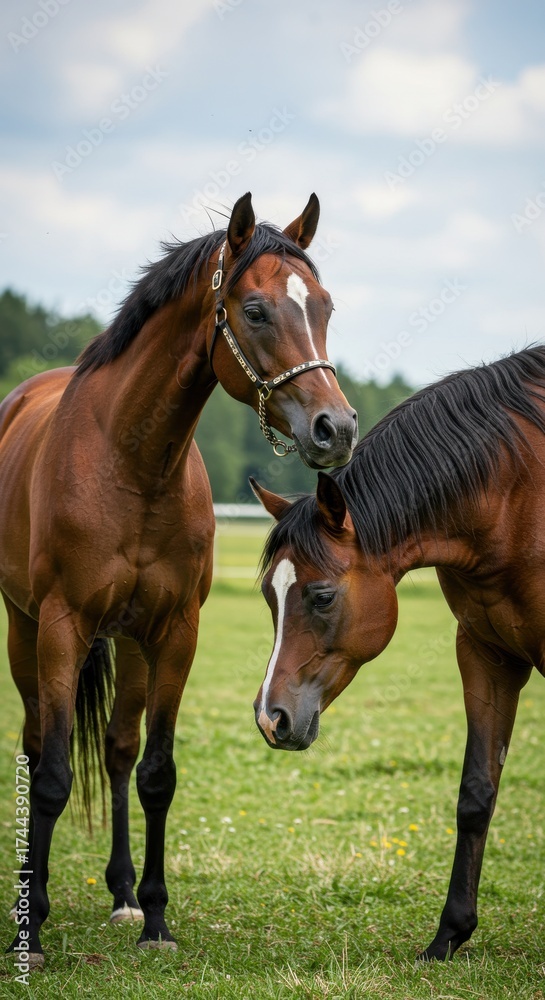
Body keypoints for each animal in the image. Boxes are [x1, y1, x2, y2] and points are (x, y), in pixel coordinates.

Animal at [0, 192, 358, 969]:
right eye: (254, 310)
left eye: (323, 304)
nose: (337, 428)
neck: (131, 464)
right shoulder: (63, 626)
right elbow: (51, 776)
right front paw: (30, 934)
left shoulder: (175, 633)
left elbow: (155, 772)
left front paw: (157, 919)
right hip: (24, 630)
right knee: (36, 745)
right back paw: (31, 896)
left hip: (130, 644)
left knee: (116, 748)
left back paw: (121, 893)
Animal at [251, 344, 545, 961]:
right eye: (269, 594)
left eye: (321, 596)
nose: (271, 717)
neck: (517, 492)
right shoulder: (486, 655)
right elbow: (475, 792)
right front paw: (450, 933)